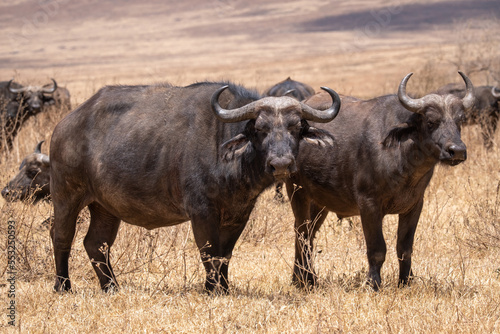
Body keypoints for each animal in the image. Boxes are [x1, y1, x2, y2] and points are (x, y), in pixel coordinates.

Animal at [288, 71, 474, 290]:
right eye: (431, 121)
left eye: (459, 120)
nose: (457, 151)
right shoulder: (368, 205)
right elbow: (377, 249)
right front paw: (374, 283)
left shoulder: (414, 206)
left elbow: (405, 248)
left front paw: (406, 281)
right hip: (297, 193)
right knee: (301, 233)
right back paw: (303, 280)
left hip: (320, 203)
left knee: (308, 234)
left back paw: (305, 278)